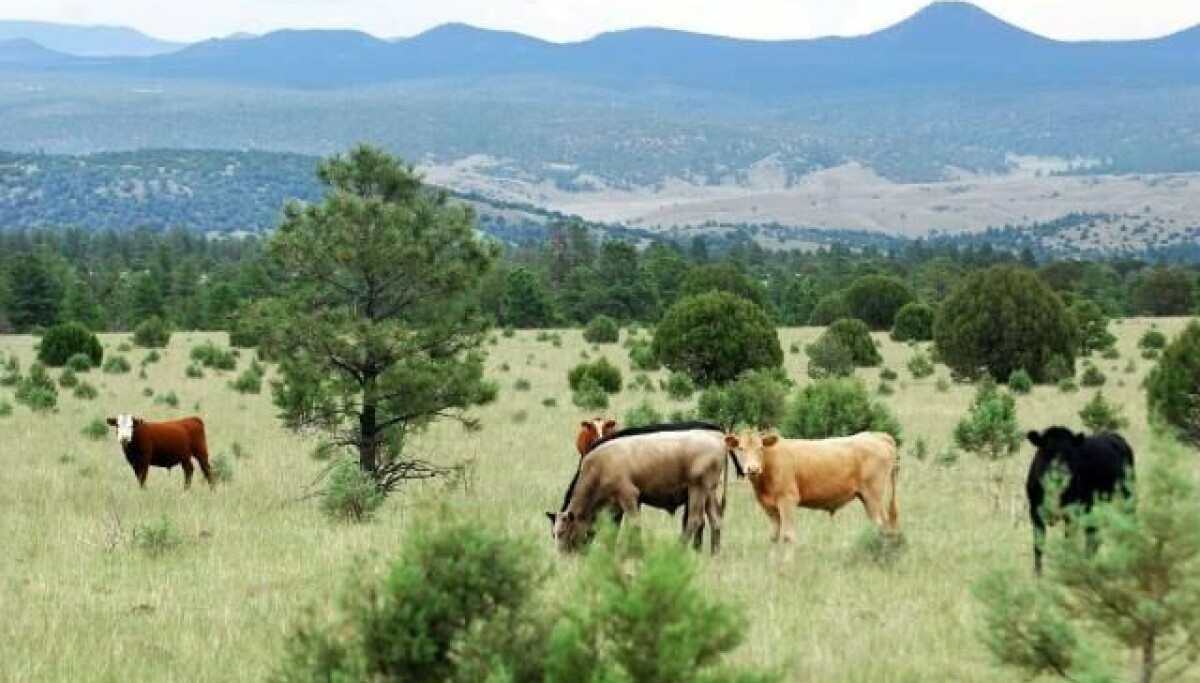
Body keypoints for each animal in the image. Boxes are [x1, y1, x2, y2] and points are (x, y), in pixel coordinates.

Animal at [549, 422, 739, 555]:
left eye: (563, 533)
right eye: (553, 534)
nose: (562, 559)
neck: (599, 466)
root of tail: (720, 438)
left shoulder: (629, 496)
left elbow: (634, 525)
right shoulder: (615, 505)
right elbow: (613, 529)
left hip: (697, 489)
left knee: (694, 521)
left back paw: (678, 551)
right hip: (709, 492)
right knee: (715, 519)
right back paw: (714, 554)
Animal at [724, 429, 899, 555]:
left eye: (761, 448)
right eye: (741, 448)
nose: (752, 469)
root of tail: (877, 436)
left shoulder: (788, 501)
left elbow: (788, 536)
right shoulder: (770, 508)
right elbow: (774, 537)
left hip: (873, 496)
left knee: (883, 526)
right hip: (867, 497)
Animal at [1025, 426, 1135, 575]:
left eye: (1070, 454)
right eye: (1047, 452)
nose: (1060, 474)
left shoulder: (1072, 514)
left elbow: (1068, 543)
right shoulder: (1035, 512)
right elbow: (1038, 545)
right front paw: (1038, 574)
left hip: (1128, 496)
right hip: (1094, 508)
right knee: (1093, 536)